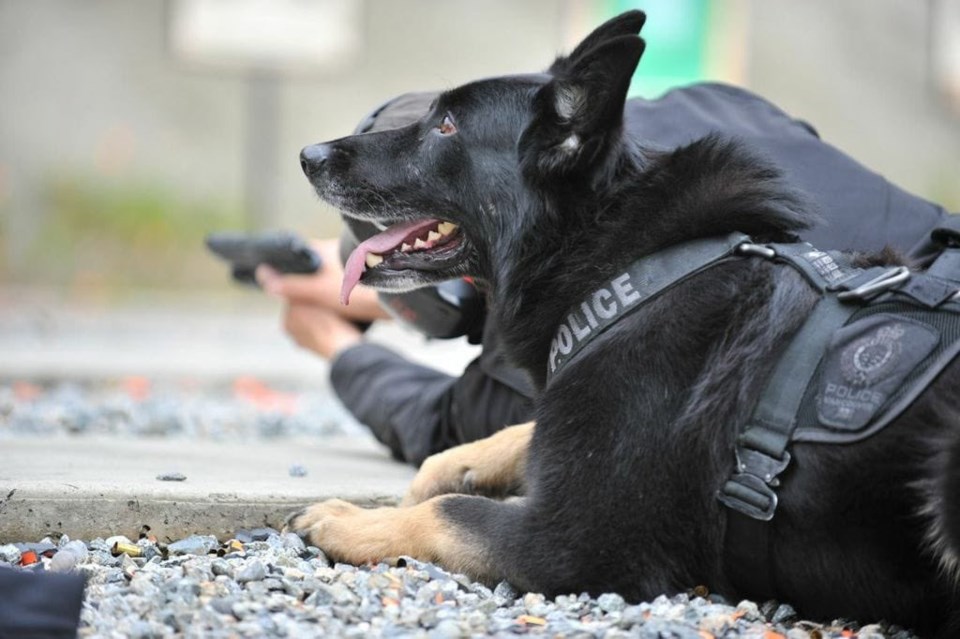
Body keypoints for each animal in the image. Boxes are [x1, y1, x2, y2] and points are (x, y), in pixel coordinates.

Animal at [292, 12, 960, 636]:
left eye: (446, 127)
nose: (308, 155)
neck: (619, 264)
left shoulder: (573, 542)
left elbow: (449, 511)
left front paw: (348, 518)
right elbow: (513, 436)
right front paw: (446, 468)